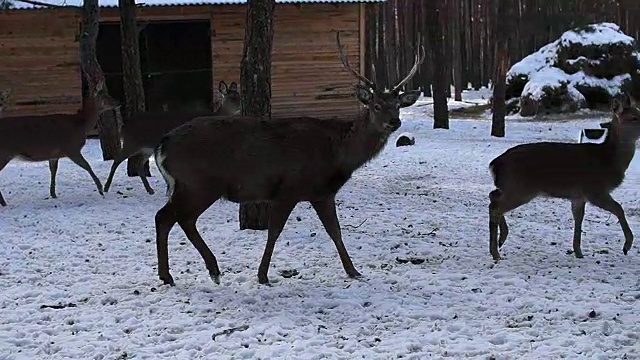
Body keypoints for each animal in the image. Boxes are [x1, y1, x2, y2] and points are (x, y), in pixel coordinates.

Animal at [102, 80, 242, 195]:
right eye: (232, 97)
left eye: (239, 95)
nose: (241, 106)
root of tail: (123, 127)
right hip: (131, 143)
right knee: (117, 160)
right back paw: (106, 187)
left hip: (146, 148)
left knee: (139, 165)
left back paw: (150, 190)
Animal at [152, 31, 424, 286]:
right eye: (376, 105)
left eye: (397, 105)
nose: (394, 121)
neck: (336, 156)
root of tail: (162, 145)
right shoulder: (289, 187)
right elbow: (275, 231)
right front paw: (262, 275)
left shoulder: (321, 193)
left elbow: (335, 231)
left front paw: (353, 271)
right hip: (199, 183)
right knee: (174, 217)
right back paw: (199, 271)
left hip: (192, 185)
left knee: (172, 218)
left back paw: (181, 273)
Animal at [490, 93, 640, 262]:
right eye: (634, 117)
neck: (609, 161)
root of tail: (495, 164)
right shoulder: (595, 189)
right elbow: (618, 208)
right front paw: (627, 246)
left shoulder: (578, 196)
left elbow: (578, 219)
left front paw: (578, 252)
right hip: (521, 188)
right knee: (496, 207)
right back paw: (496, 252)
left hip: (510, 186)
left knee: (493, 197)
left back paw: (501, 239)